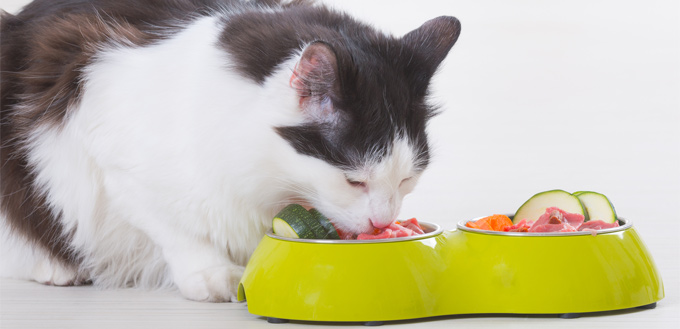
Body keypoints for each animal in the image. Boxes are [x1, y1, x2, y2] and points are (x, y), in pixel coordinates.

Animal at [0, 0, 462, 302]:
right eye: (354, 181)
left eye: (407, 178)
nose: (382, 222)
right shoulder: (109, 148)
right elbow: (174, 226)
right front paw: (212, 275)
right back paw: (55, 269)